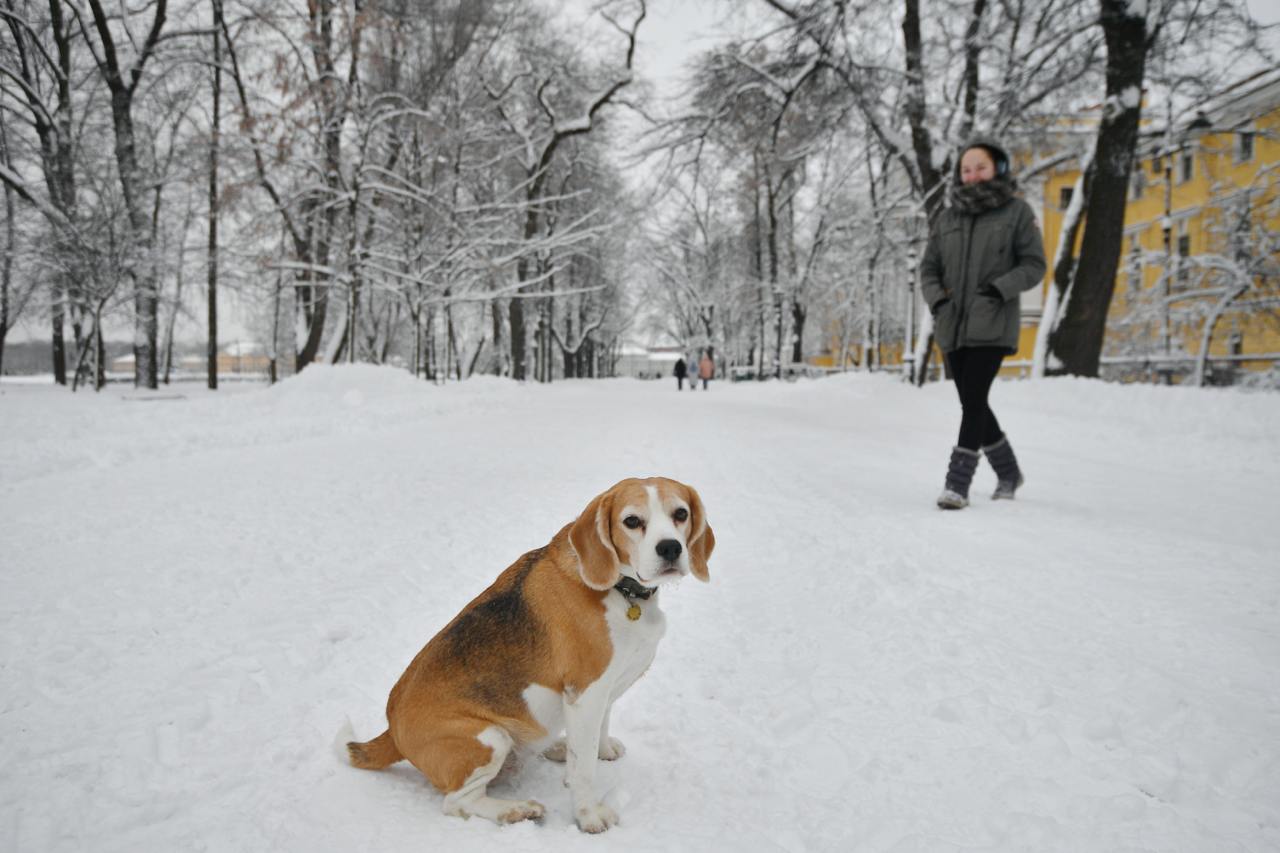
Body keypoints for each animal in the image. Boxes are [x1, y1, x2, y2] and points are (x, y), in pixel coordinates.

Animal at [345, 479, 716, 829]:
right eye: (632, 521)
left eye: (680, 513)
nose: (670, 548)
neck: (623, 591)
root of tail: (392, 729)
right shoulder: (585, 693)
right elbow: (583, 769)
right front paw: (589, 816)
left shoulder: (602, 690)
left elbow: (597, 732)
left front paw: (602, 749)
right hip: (489, 738)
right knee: (457, 802)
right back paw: (515, 810)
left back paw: (554, 747)